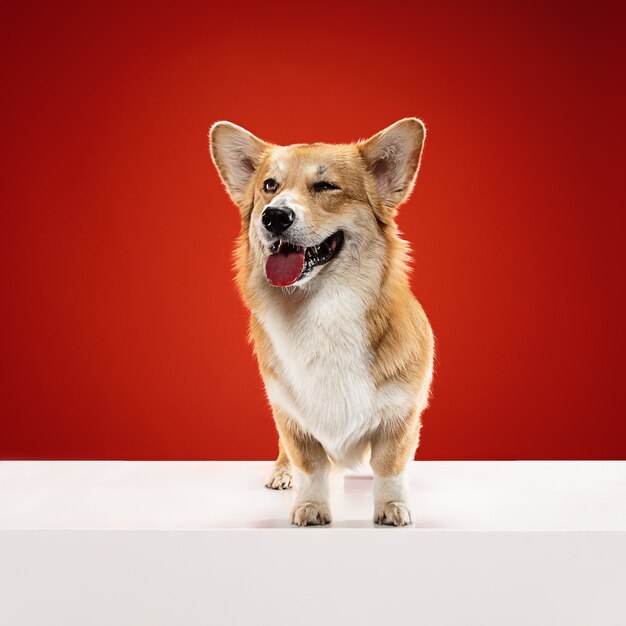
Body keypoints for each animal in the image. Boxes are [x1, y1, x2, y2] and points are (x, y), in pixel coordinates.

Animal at [207, 119, 432, 524]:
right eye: (270, 186)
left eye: (326, 186)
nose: (274, 216)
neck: (323, 308)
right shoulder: (291, 415)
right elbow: (310, 464)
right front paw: (311, 507)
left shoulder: (400, 413)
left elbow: (390, 466)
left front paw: (392, 508)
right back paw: (282, 473)